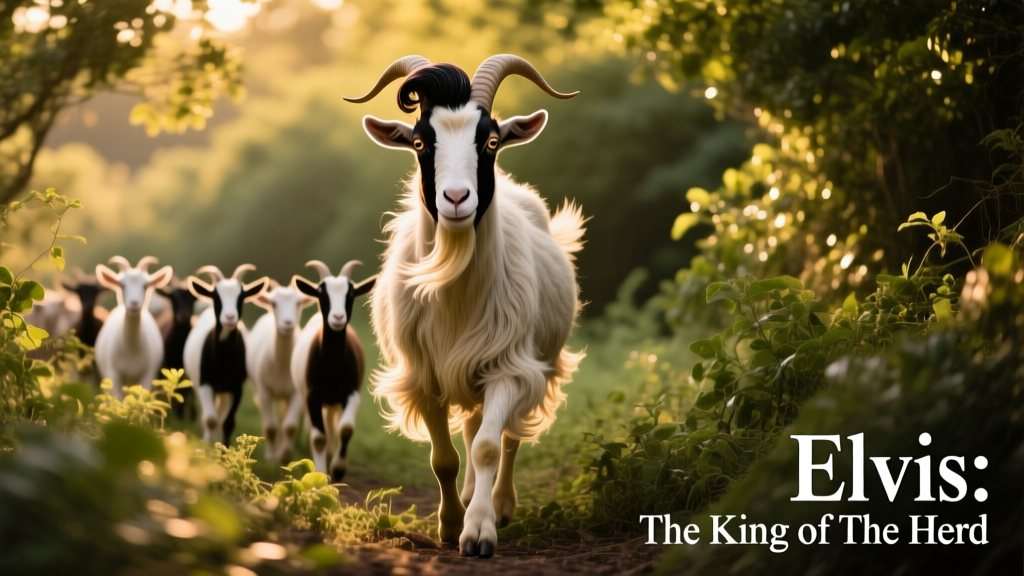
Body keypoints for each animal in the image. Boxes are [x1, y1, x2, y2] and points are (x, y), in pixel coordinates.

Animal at [93, 256, 174, 399]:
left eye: (146, 286)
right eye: (121, 285)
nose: (134, 303)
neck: (131, 347)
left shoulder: (147, 375)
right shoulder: (114, 375)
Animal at [183, 264, 267, 446]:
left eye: (241, 297)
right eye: (216, 296)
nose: (230, 317)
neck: (223, 359)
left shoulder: (237, 387)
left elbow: (228, 422)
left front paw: (225, 449)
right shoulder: (205, 383)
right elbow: (210, 420)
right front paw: (209, 448)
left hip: (224, 392)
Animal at [245, 279, 314, 464]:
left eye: (298, 303)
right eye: (274, 303)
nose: (288, 323)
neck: (282, 366)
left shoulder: (296, 393)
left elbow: (290, 426)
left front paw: (285, 456)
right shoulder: (264, 391)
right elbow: (270, 427)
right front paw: (271, 458)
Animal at [289, 260, 375, 481]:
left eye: (351, 293)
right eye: (321, 292)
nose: (337, 317)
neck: (332, 365)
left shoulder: (351, 393)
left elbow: (345, 429)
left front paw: (337, 469)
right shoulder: (312, 396)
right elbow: (319, 437)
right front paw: (320, 474)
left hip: (334, 402)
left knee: (334, 426)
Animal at [347, 54, 586, 556]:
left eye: (491, 140)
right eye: (420, 141)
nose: (456, 199)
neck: (455, 295)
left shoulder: (509, 366)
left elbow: (488, 448)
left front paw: (478, 531)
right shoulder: (423, 376)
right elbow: (445, 459)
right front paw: (451, 524)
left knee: (506, 437)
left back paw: (501, 504)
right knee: (475, 428)